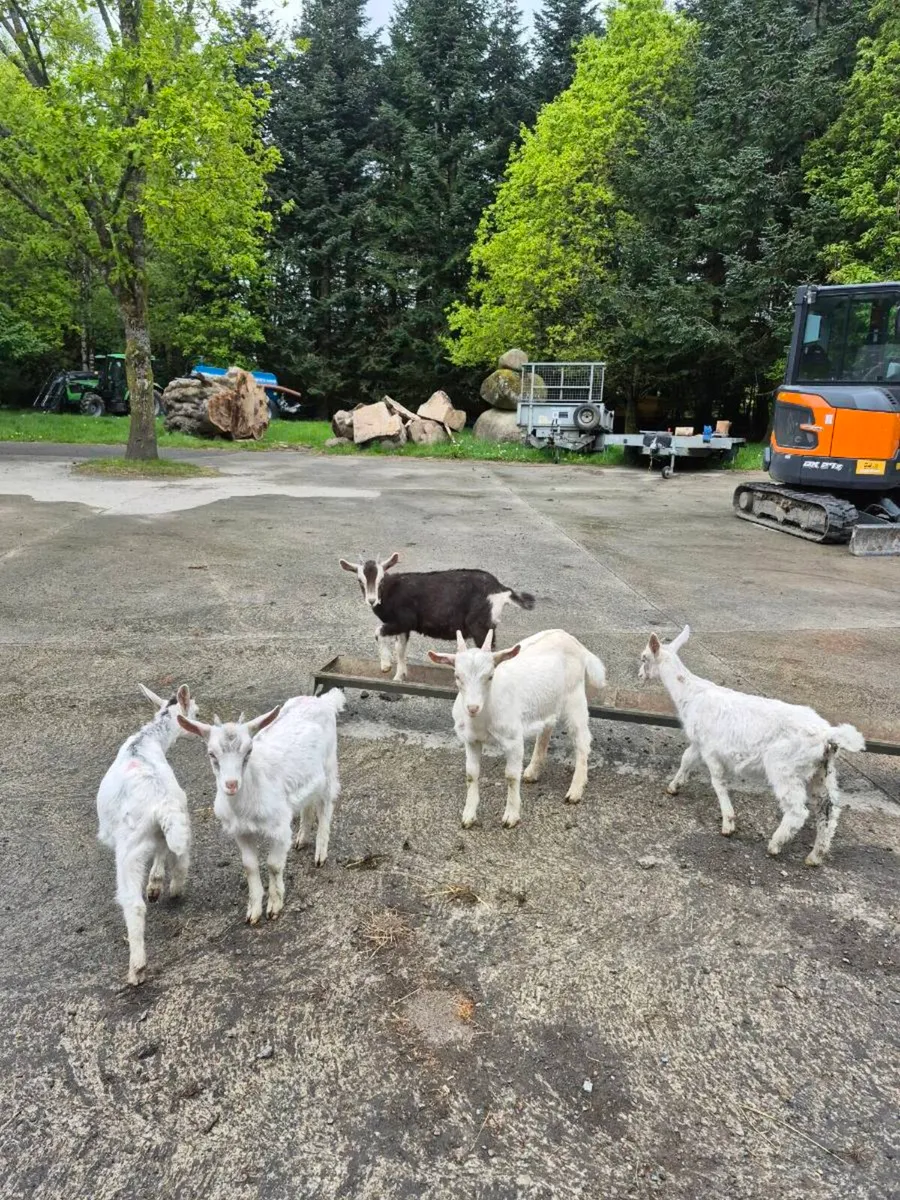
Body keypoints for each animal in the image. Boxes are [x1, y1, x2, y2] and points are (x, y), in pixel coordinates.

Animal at [96, 684, 197, 985]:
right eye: (196, 712)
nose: (197, 727)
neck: (145, 742)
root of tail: (161, 805)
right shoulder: (163, 834)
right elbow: (163, 853)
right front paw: (155, 883)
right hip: (181, 819)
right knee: (182, 858)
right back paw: (173, 890)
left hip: (129, 849)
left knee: (133, 903)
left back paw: (137, 967)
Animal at [178, 691, 346, 924]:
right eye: (212, 754)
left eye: (248, 751)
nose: (231, 784)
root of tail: (322, 700)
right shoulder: (241, 831)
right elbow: (249, 866)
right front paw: (253, 911)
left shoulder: (279, 828)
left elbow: (274, 865)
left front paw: (274, 906)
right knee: (309, 804)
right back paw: (302, 838)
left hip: (330, 767)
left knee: (326, 806)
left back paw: (320, 853)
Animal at [339, 551, 535, 681]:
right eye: (360, 580)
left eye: (381, 579)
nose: (372, 600)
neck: (391, 591)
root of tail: (501, 589)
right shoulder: (403, 627)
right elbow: (400, 649)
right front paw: (399, 677)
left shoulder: (403, 620)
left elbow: (378, 631)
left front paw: (386, 666)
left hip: (480, 626)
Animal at [429, 629, 606, 828]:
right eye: (457, 676)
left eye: (490, 676)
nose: (472, 708)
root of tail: (574, 641)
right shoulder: (471, 740)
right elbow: (471, 774)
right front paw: (468, 816)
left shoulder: (513, 740)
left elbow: (511, 776)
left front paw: (511, 816)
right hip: (548, 701)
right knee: (547, 729)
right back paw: (532, 771)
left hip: (574, 697)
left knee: (582, 740)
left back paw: (575, 790)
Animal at [639, 625, 865, 864]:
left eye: (644, 658)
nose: (639, 676)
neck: (691, 693)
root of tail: (828, 735)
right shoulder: (699, 743)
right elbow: (686, 759)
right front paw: (674, 786)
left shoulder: (711, 750)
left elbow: (717, 782)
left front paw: (728, 822)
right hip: (822, 772)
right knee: (829, 810)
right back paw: (815, 855)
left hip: (784, 766)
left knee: (797, 811)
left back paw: (775, 844)